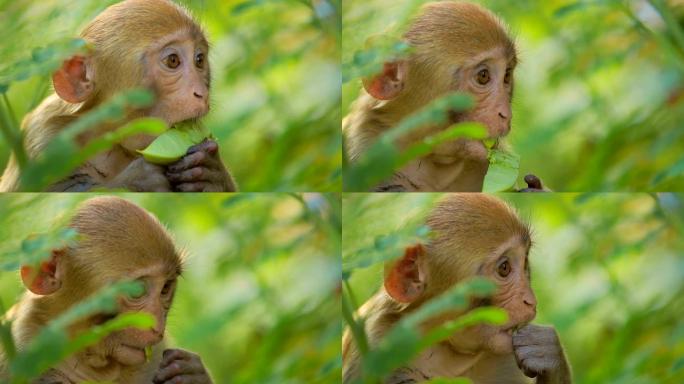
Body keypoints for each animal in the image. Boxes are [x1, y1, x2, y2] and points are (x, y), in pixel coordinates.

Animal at [0, 0, 238, 192]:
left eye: (199, 59)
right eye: (173, 61)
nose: (201, 93)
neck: (107, 138)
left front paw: (212, 174)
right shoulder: (46, 141)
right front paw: (138, 180)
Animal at [342, 195, 572, 384]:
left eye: (525, 262)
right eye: (504, 268)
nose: (531, 301)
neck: (443, 350)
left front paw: (548, 354)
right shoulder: (376, 349)